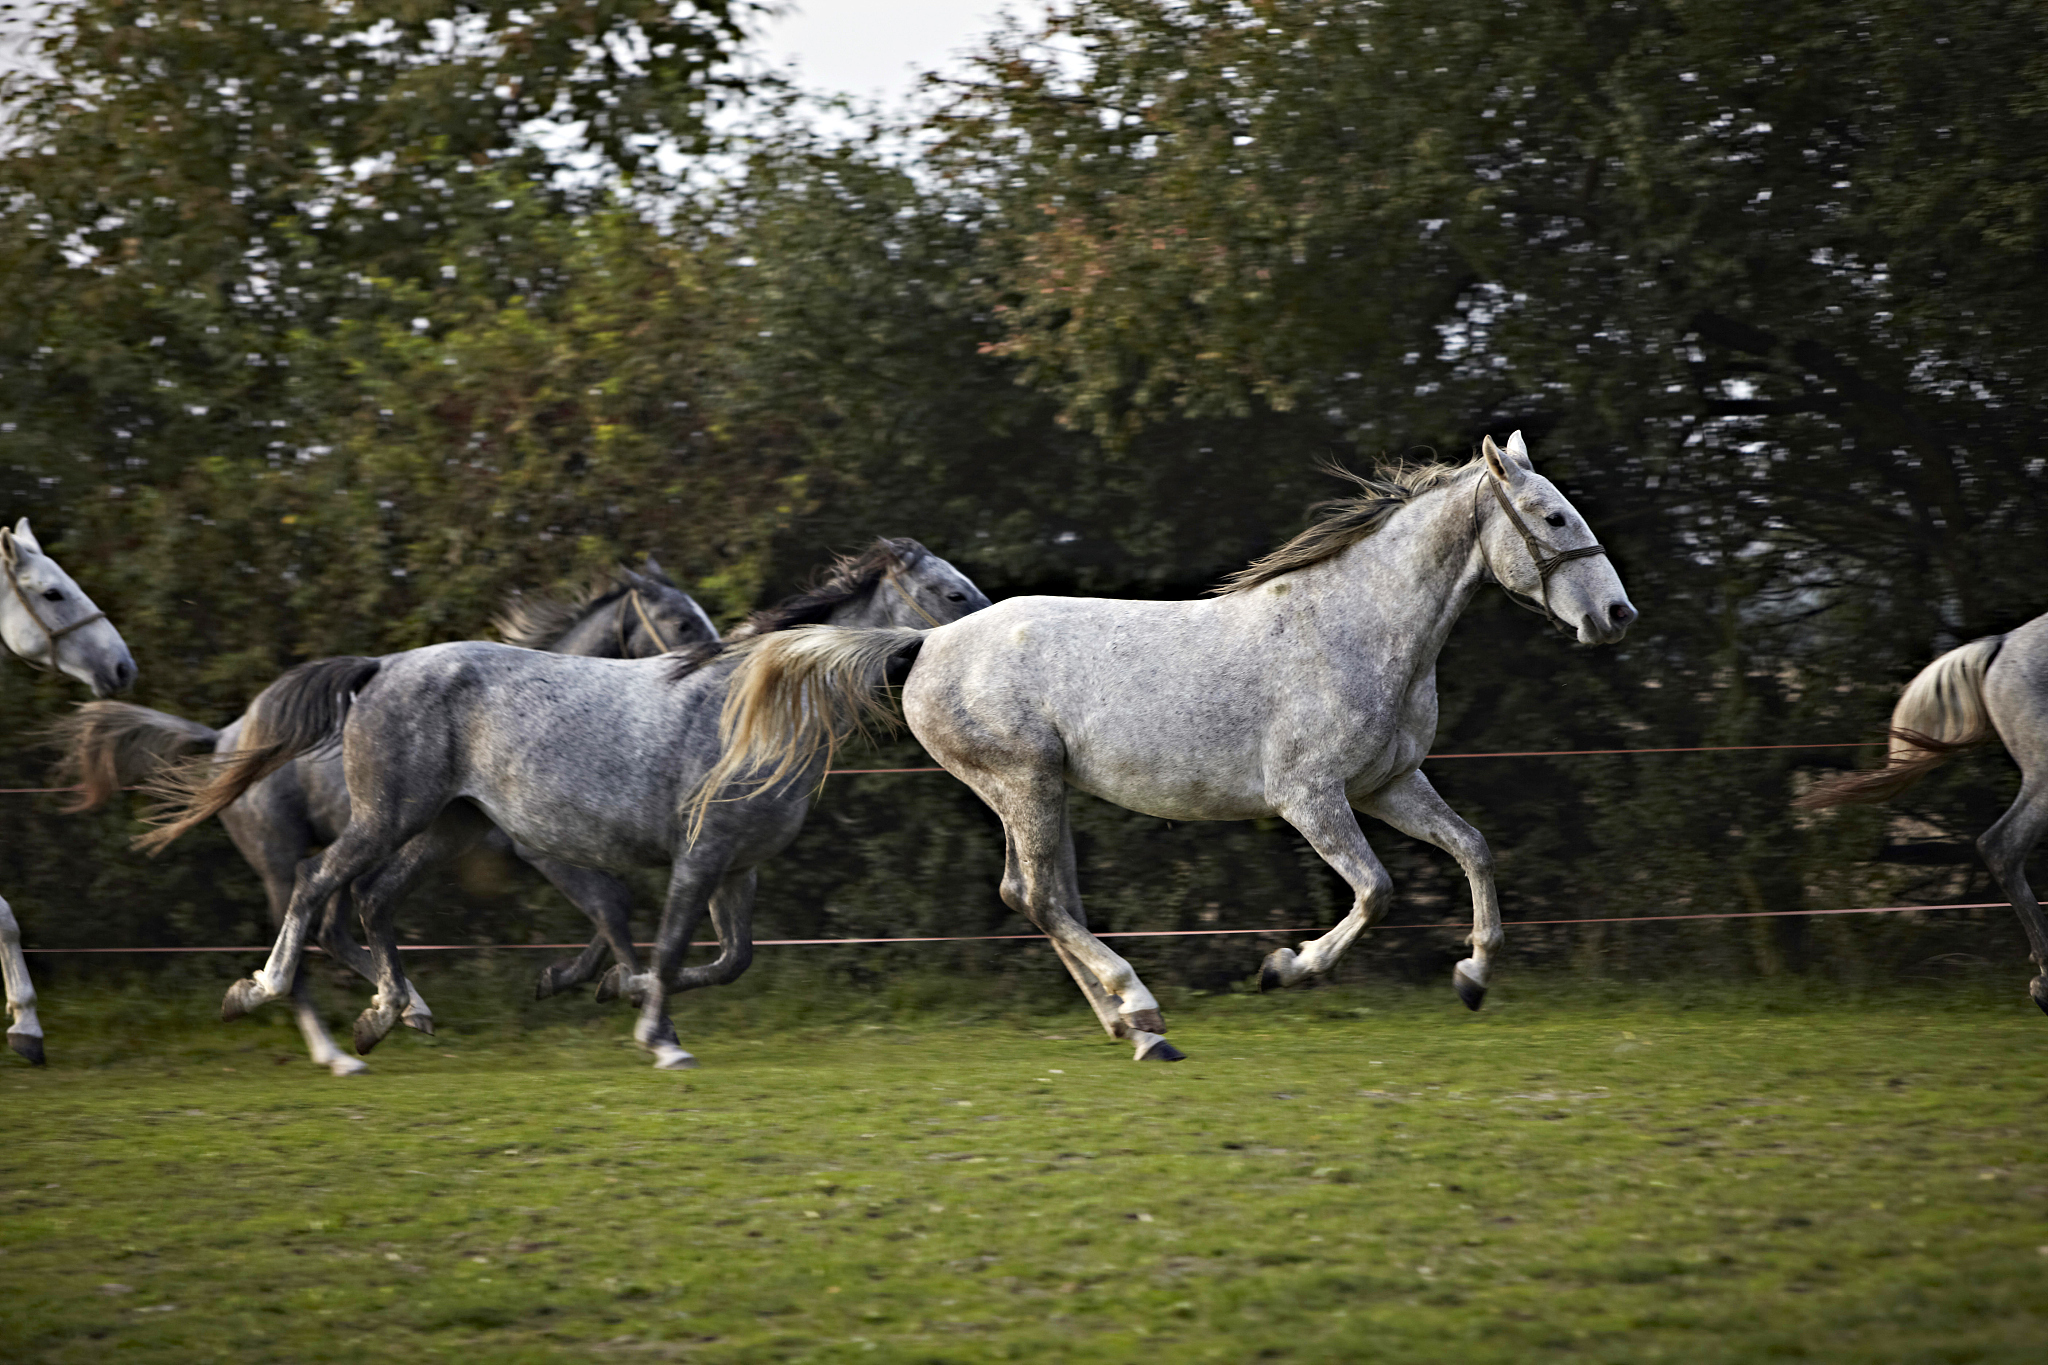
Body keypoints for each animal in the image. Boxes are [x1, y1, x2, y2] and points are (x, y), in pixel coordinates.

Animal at [53, 560, 716, 1074]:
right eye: (681, 620)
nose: (713, 655)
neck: (545, 710)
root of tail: (224, 740)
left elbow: (609, 917)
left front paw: (588, 981)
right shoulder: (540, 850)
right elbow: (611, 908)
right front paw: (638, 1006)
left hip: (408, 836)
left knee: (341, 919)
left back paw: (403, 1009)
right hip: (303, 850)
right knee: (312, 913)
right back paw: (326, 1040)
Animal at [138, 538, 990, 1069]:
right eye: (951, 591)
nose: (993, 639)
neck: (751, 707)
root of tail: (381, 666)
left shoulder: (738, 866)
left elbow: (728, 958)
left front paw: (609, 987)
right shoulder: (692, 855)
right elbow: (659, 939)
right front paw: (657, 1033)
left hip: (442, 827)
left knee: (370, 902)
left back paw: (387, 1013)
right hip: (386, 817)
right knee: (319, 888)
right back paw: (270, 995)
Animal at [695, 434, 1637, 1060]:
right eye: (1553, 515)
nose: (1616, 614)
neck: (1357, 629)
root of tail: (926, 643)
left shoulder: (1390, 784)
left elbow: (1473, 848)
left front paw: (1473, 975)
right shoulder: (1312, 797)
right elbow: (1376, 890)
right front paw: (1283, 967)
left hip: (1036, 791)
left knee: (1037, 895)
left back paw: (1128, 1020)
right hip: (1023, 780)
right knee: (1040, 896)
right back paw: (1143, 1019)